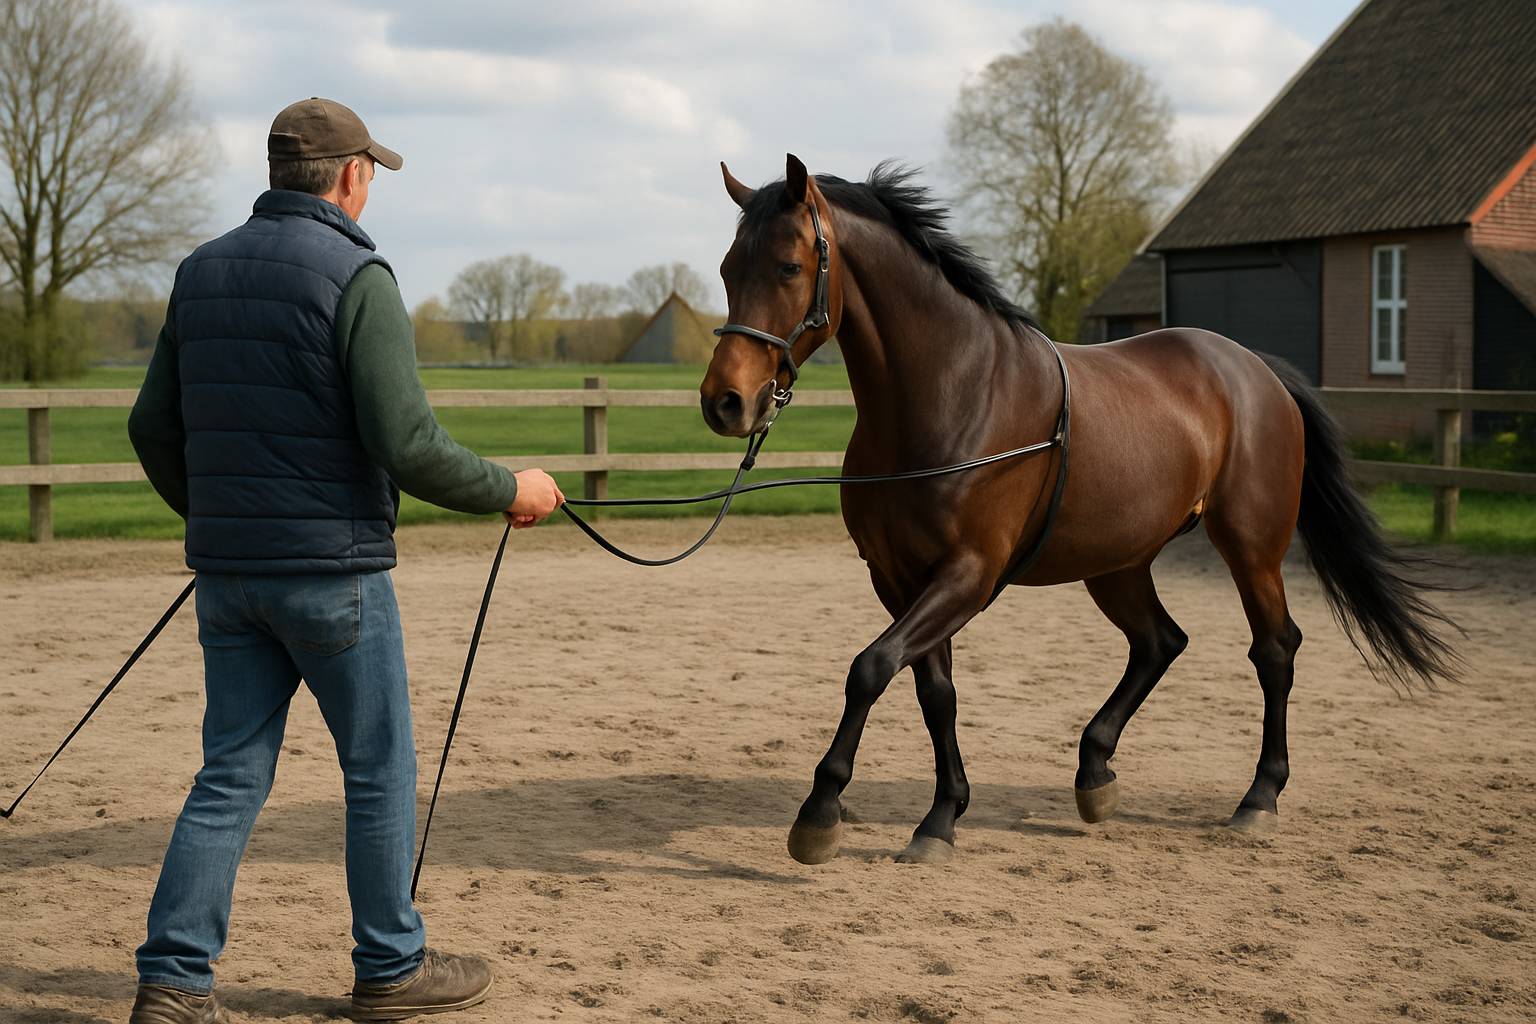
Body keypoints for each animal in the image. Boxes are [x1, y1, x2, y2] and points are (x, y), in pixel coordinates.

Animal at [699, 155, 1459, 866]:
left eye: (789, 266)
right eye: (729, 268)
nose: (725, 403)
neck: (952, 393)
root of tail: (1258, 370)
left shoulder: (967, 574)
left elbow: (870, 668)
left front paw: (821, 811)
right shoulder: (900, 578)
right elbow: (933, 691)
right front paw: (941, 818)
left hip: (1250, 547)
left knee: (1273, 649)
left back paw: (1259, 798)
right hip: (1117, 562)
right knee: (1159, 641)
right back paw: (1095, 773)